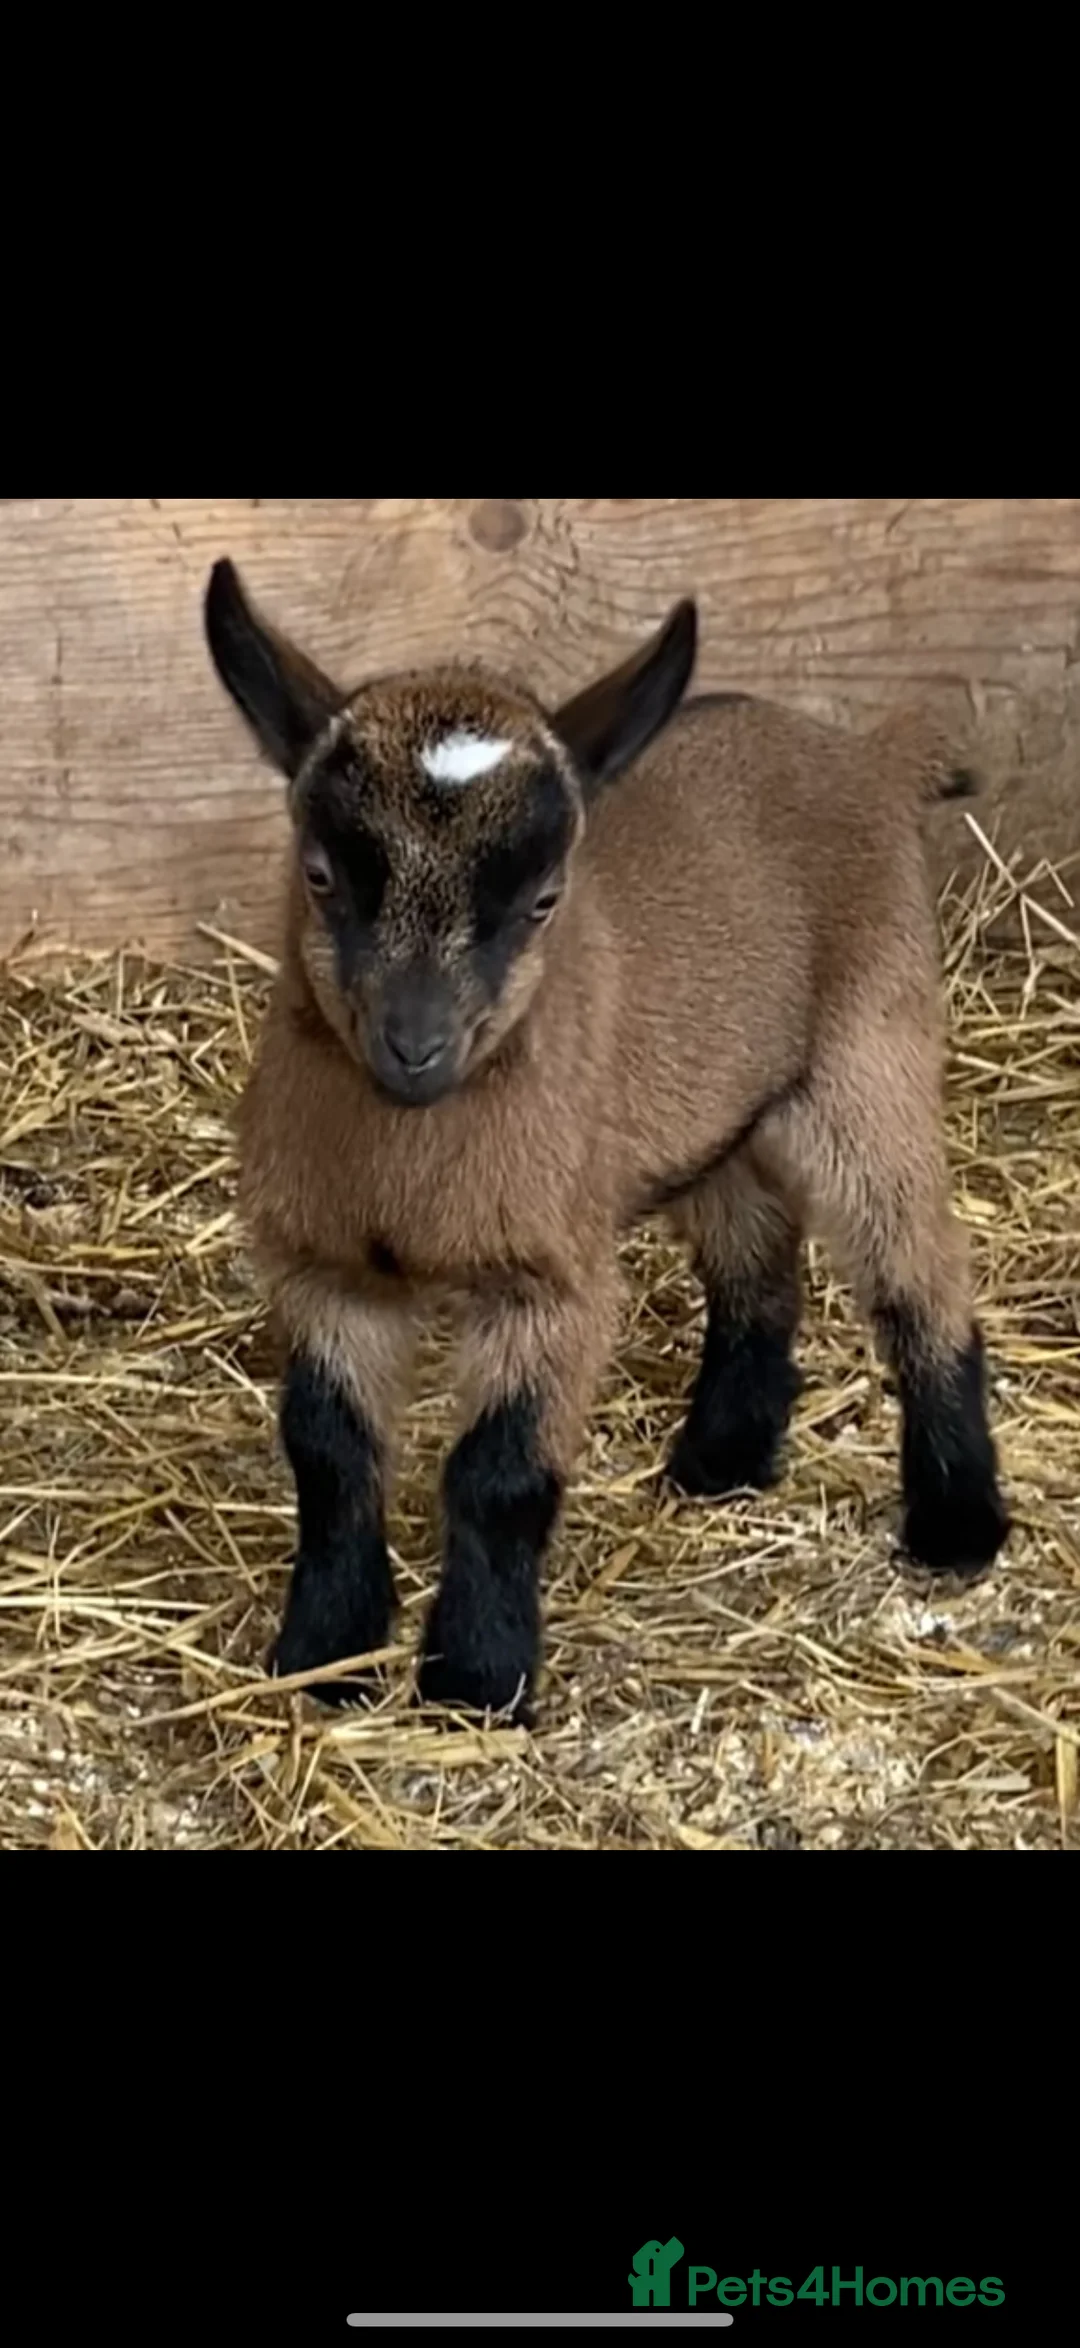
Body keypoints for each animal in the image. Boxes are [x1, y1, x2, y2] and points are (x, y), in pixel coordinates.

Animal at [204, 559, 1009, 1724]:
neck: (407, 1180)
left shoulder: (550, 1277)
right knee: (757, 1259)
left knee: (920, 1272)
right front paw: (326, 1651)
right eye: (320, 875)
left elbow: (497, 1477)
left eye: (543, 900)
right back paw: (723, 1456)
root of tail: (861, 755)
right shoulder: (323, 1264)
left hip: (870, 1059)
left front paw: (477, 1679)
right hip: (715, 1117)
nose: (416, 1046)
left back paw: (957, 1523)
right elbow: (328, 1455)